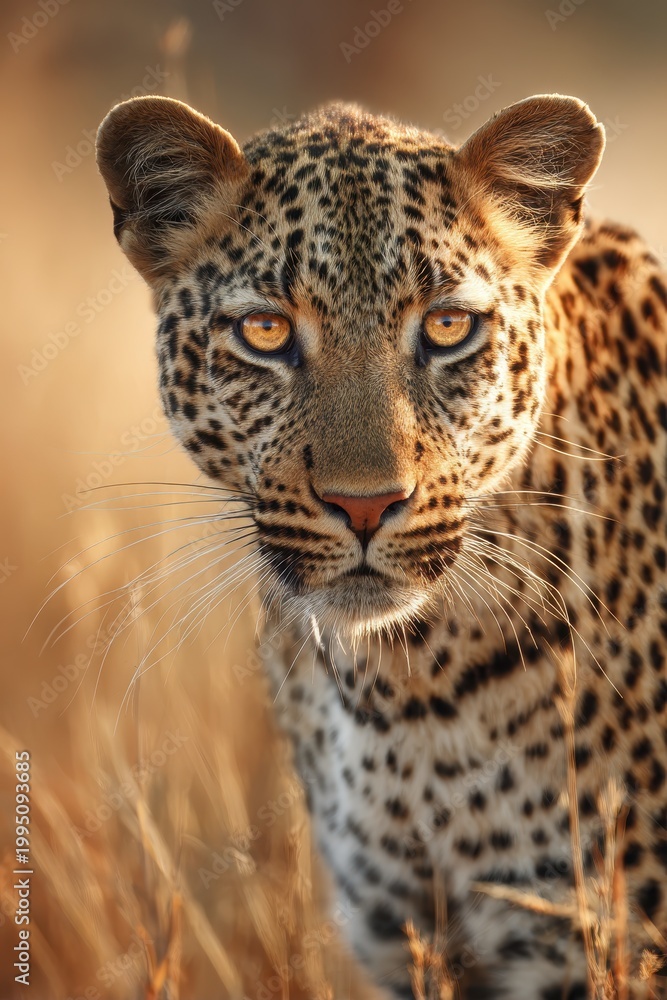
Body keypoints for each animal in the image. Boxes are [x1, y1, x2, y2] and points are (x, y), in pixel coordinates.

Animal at [96, 93, 667, 998]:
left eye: (447, 326)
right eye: (265, 331)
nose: (364, 505)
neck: (403, 688)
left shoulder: (585, 938)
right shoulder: (410, 937)